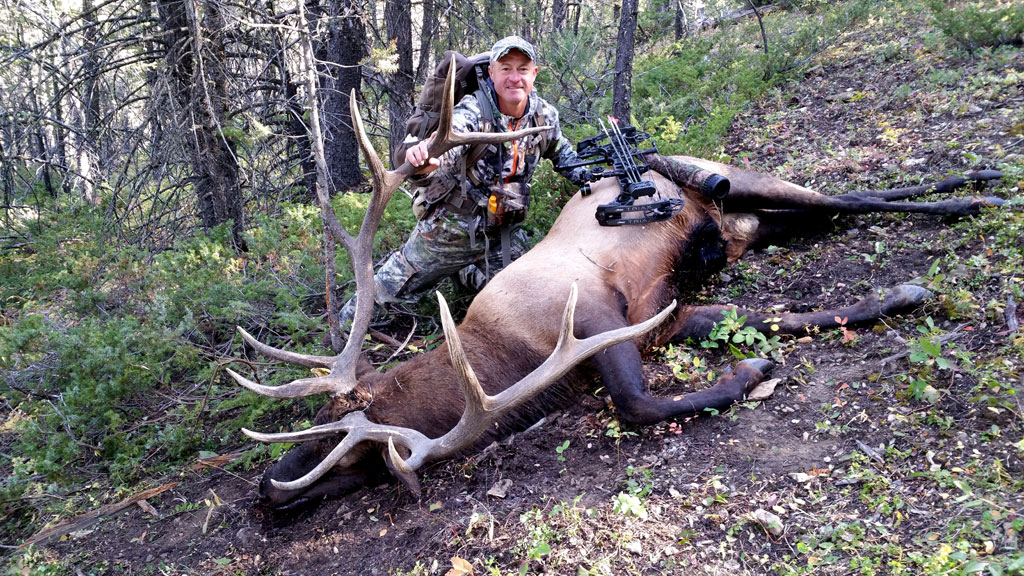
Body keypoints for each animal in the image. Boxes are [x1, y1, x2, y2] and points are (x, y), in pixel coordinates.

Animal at [228, 61, 1003, 506]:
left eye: (346, 446)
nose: (266, 490)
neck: (502, 358)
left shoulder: (600, 319)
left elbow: (637, 404)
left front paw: (751, 371)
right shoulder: (667, 316)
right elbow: (784, 317)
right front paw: (889, 299)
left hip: (733, 177)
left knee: (852, 195)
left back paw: (978, 189)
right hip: (747, 224)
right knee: (829, 209)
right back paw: (972, 187)